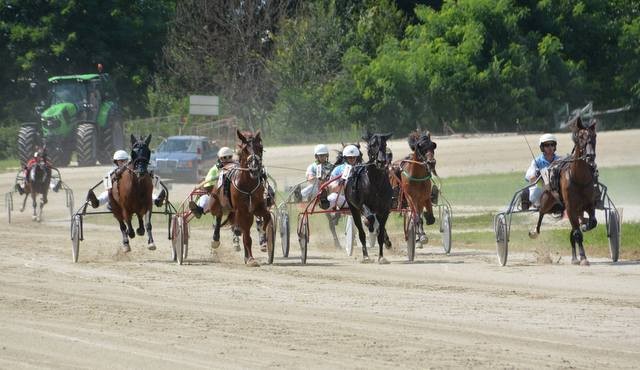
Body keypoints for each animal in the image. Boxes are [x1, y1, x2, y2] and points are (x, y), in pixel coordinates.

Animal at [344, 132, 396, 264]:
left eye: (385, 144)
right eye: (372, 145)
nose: (381, 161)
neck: (375, 182)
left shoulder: (385, 209)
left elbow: (381, 232)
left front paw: (381, 257)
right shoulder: (362, 205)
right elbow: (370, 218)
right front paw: (370, 226)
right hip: (353, 208)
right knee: (362, 231)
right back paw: (366, 255)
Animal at [528, 117, 600, 264]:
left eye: (594, 135)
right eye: (581, 136)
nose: (590, 156)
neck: (579, 178)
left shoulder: (589, 204)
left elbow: (592, 222)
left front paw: (585, 226)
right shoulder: (570, 207)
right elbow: (577, 233)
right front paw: (583, 258)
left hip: (577, 209)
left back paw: (574, 257)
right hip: (547, 200)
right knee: (541, 213)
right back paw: (535, 232)